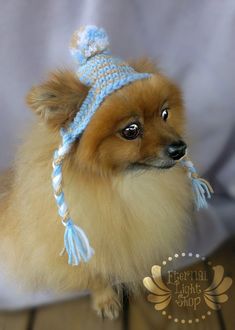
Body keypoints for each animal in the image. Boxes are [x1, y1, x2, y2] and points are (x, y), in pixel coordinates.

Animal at [0, 26, 193, 320]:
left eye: (164, 114)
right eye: (131, 130)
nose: (179, 148)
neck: (124, 184)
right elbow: (96, 275)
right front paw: (105, 300)